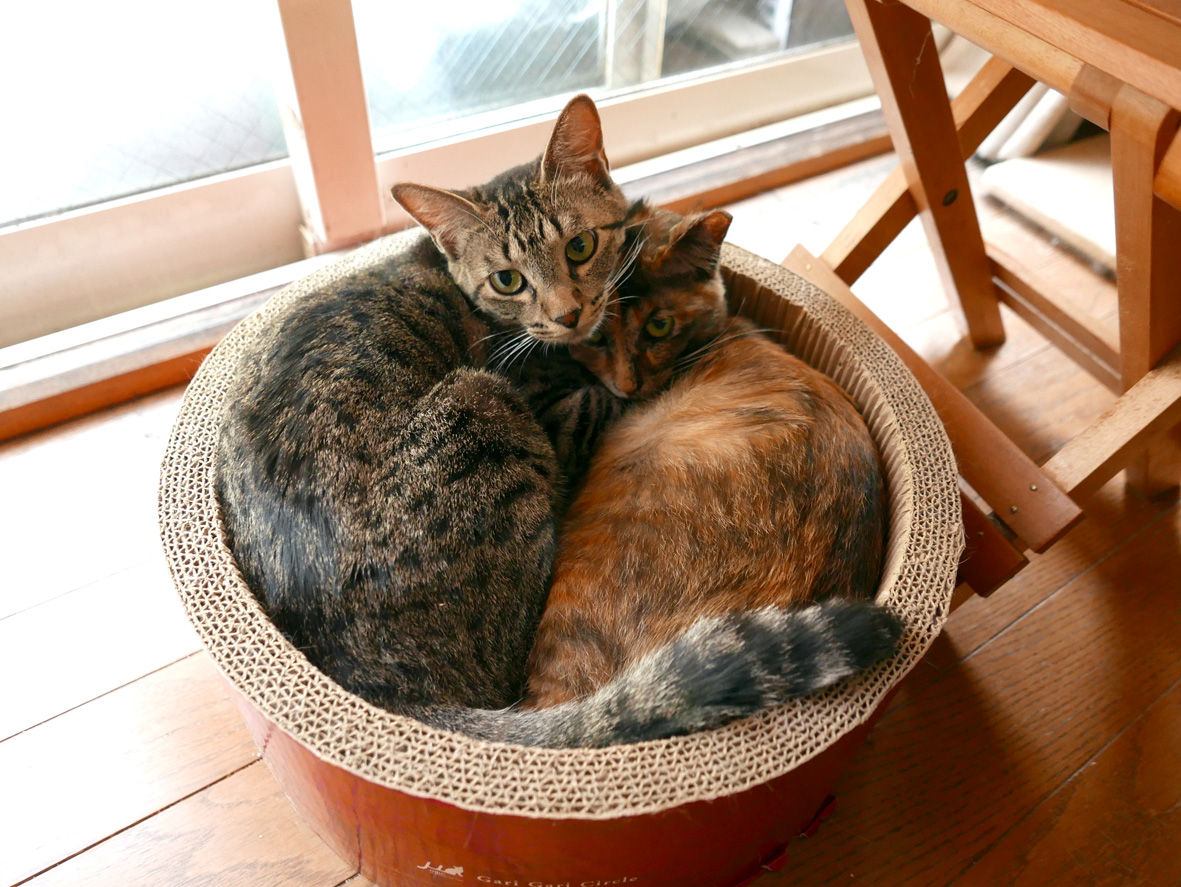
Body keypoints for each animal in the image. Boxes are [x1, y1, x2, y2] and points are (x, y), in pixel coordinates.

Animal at [215, 94, 633, 713]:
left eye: (580, 246)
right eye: (507, 280)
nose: (568, 314)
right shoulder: (556, 411)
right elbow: (610, 396)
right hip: (481, 403)